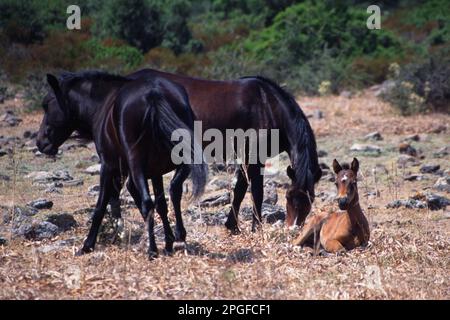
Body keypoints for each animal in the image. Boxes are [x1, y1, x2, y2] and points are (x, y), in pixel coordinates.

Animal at [37, 71, 207, 258]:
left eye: (46, 104)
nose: (40, 142)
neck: (102, 105)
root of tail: (153, 94)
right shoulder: (155, 172)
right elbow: (161, 204)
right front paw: (168, 241)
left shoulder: (108, 167)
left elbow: (101, 206)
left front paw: (88, 245)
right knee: (173, 190)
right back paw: (177, 236)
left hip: (136, 165)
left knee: (148, 202)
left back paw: (152, 250)